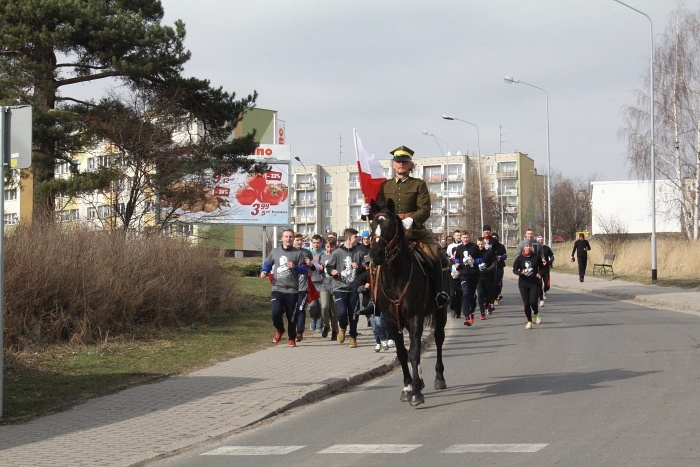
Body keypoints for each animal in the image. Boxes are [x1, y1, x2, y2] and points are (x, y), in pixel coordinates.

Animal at [366, 199, 448, 408]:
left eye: (390, 226)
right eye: (372, 225)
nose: (376, 255)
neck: (396, 275)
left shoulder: (415, 316)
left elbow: (414, 352)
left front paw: (416, 393)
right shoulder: (391, 320)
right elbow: (403, 353)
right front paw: (408, 387)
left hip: (441, 311)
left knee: (438, 339)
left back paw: (439, 378)